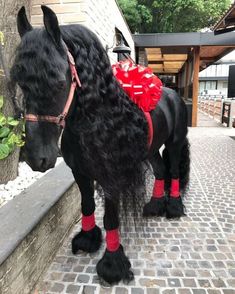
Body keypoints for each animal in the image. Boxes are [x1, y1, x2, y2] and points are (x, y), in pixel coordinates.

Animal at [11, 5, 190, 284]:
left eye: (60, 82)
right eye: (21, 81)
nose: (36, 158)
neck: (98, 119)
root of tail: (172, 94)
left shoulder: (112, 178)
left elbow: (111, 218)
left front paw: (112, 264)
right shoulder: (80, 173)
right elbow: (87, 205)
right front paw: (87, 240)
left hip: (174, 142)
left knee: (172, 172)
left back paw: (172, 207)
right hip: (150, 151)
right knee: (161, 171)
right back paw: (154, 206)